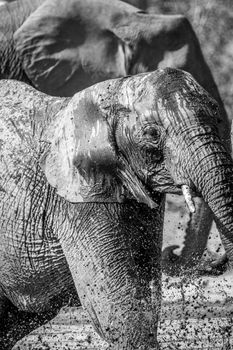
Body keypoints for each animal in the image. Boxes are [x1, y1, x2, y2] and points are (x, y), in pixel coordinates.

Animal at [0, 68, 233, 350]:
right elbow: (116, 304)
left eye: (217, 117)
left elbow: (145, 292)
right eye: (152, 134)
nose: (173, 251)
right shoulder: (77, 201)